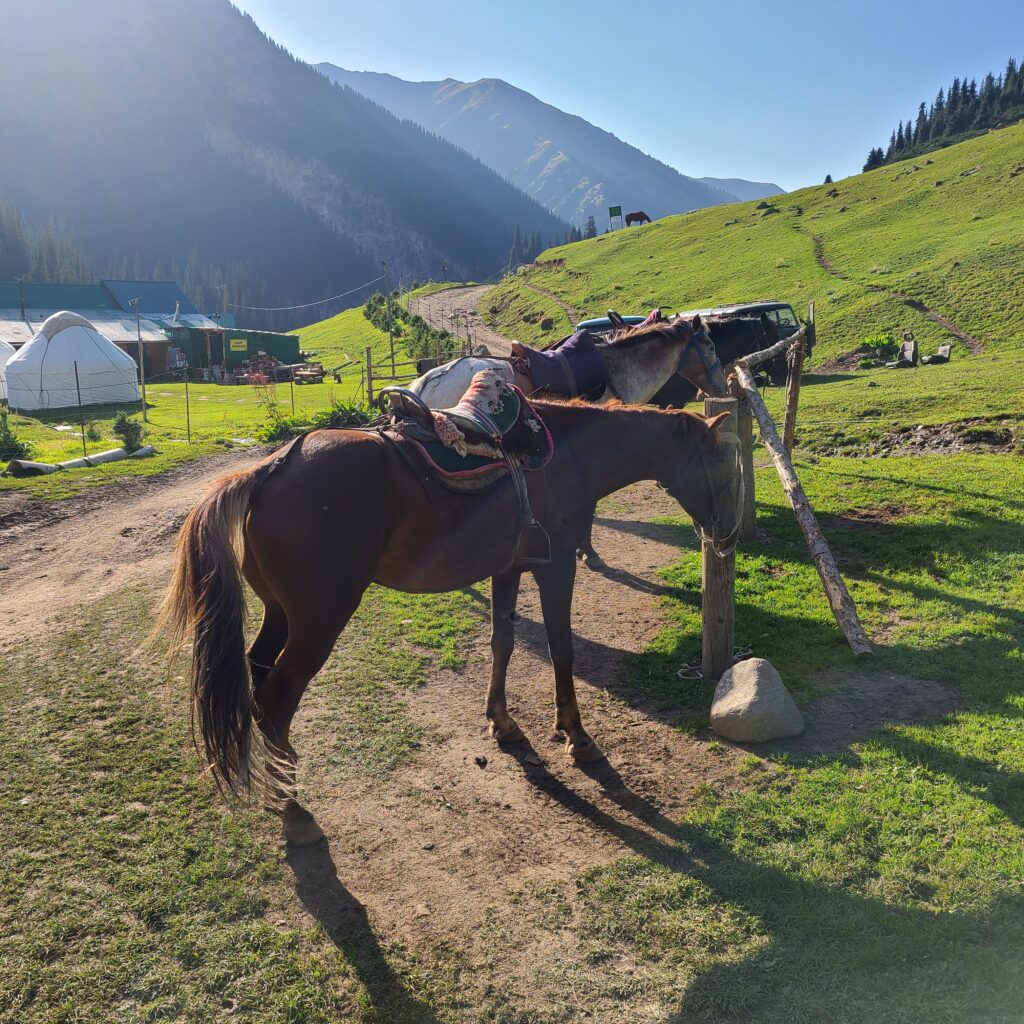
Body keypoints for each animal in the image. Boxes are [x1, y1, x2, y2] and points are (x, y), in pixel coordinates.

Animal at [159, 397, 741, 839]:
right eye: (720, 464)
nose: (727, 532)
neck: (569, 457)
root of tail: (269, 469)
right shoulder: (555, 571)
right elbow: (562, 648)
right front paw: (576, 736)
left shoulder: (510, 570)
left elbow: (503, 642)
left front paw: (502, 722)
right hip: (318, 622)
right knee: (276, 698)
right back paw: (291, 802)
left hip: (282, 614)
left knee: (256, 674)